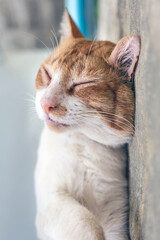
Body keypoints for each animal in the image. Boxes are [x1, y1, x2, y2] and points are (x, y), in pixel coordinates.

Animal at [34, 9, 140, 240]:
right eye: (47, 74)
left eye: (82, 84)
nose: (46, 104)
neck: (85, 145)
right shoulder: (52, 199)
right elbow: (85, 224)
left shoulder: (116, 214)